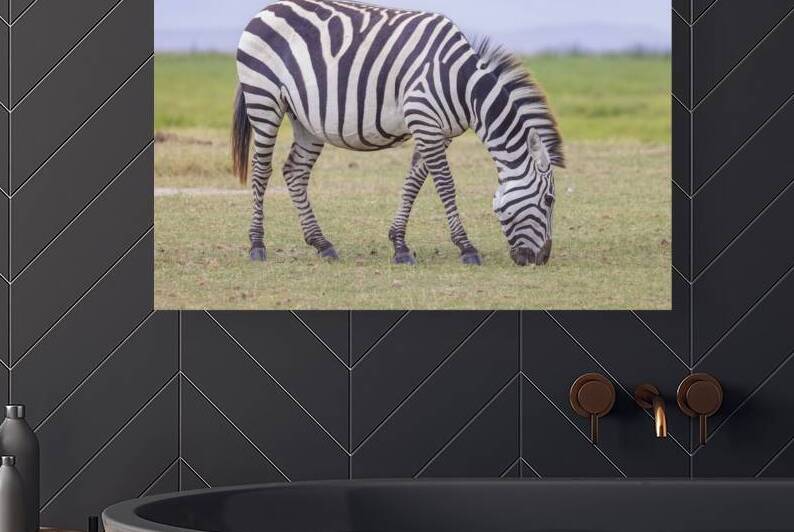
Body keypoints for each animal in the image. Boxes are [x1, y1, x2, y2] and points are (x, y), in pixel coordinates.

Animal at [232, 0, 565, 266]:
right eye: (549, 200)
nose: (542, 259)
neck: (463, 85)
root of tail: (266, 9)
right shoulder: (424, 121)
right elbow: (445, 185)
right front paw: (466, 247)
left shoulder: (437, 131)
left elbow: (413, 183)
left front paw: (400, 245)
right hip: (264, 99)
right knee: (261, 170)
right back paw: (257, 245)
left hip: (306, 120)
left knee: (295, 172)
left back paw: (322, 244)